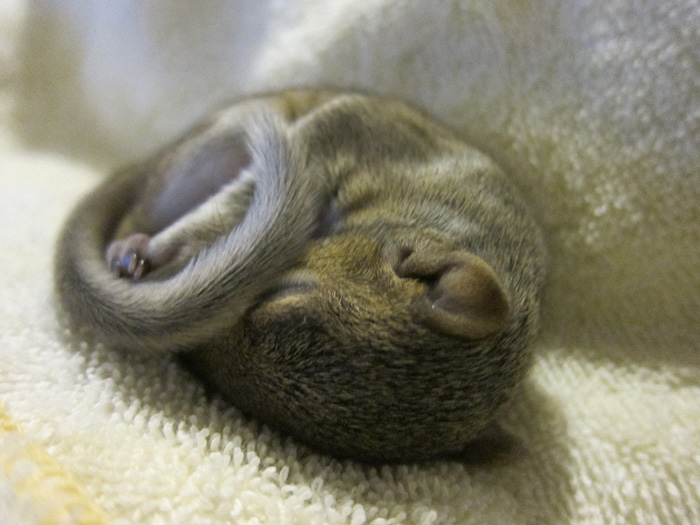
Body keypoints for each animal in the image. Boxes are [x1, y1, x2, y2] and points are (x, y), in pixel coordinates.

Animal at [54, 90, 548, 462]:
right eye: (280, 292)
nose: (190, 359)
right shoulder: (344, 132)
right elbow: (232, 203)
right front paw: (157, 250)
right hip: (205, 153)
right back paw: (132, 247)